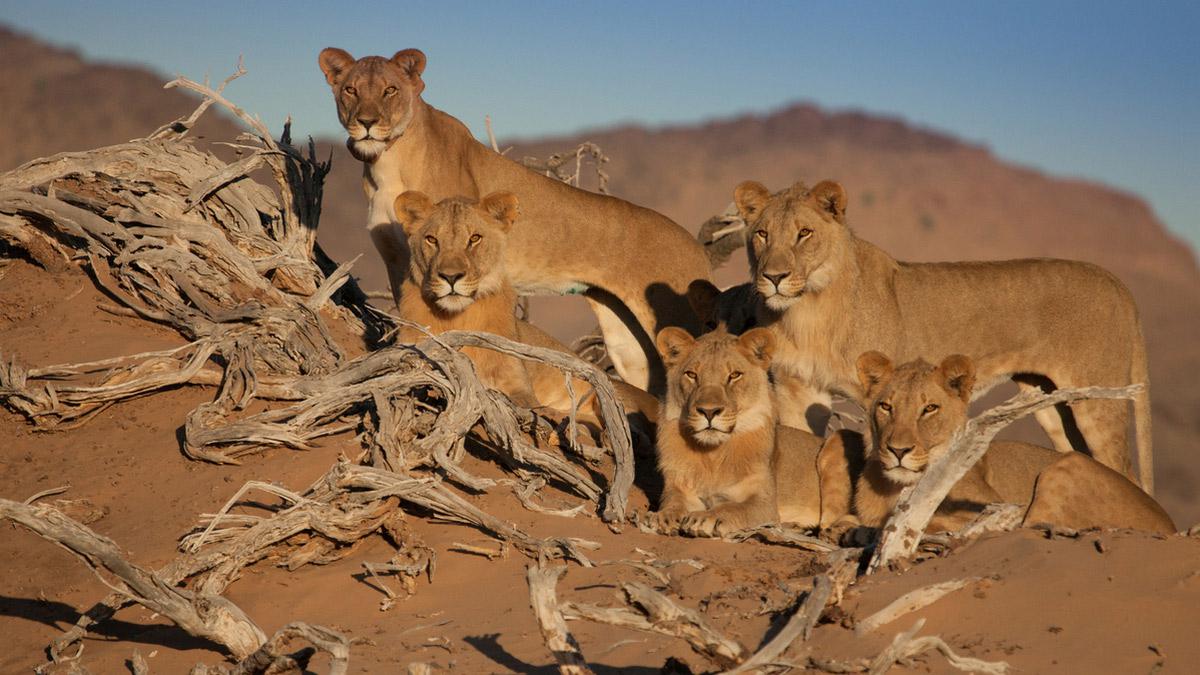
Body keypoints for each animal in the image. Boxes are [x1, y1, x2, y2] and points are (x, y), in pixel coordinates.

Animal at [316, 45, 710, 393]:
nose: (367, 123)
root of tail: (697, 248)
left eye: (390, 90)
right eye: (350, 90)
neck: (385, 161)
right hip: (627, 340)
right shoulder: (398, 259)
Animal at [391, 189, 657, 427]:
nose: (451, 276)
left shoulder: (518, 383)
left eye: (474, 239)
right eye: (432, 240)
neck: (457, 317)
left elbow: (528, 404)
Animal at [648, 324, 835, 533]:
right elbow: (673, 502)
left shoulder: (765, 504)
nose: (709, 411)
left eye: (734, 375)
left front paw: (705, 517)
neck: (712, 455)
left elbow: (732, 508)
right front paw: (664, 516)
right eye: (692, 375)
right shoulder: (679, 487)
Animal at [729, 178, 1152, 487]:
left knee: (1123, 468)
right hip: (1053, 403)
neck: (808, 311)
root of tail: (1117, 282)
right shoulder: (797, 389)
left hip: (1098, 400)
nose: (774, 277)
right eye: (762, 234)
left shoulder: (878, 394)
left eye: (804, 233)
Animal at [816, 353, 1171, 535]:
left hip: (1066, 466)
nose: (898, 450)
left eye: (929, 408)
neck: (894, 488)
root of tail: (1169, 523)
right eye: (886, 406)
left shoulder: (991, 505)